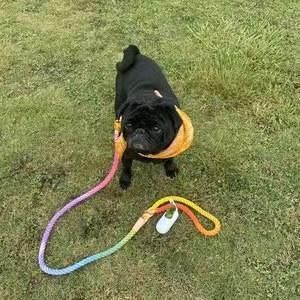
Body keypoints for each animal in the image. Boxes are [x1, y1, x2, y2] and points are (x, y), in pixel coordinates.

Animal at [115, 44, 184, 190]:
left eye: (156, 128)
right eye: (128, 125)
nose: (140, 131)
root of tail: (138, 55)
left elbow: (169, 160)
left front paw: (171, 170)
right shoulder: (126, 155)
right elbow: (126, 168)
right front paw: (125, 180)